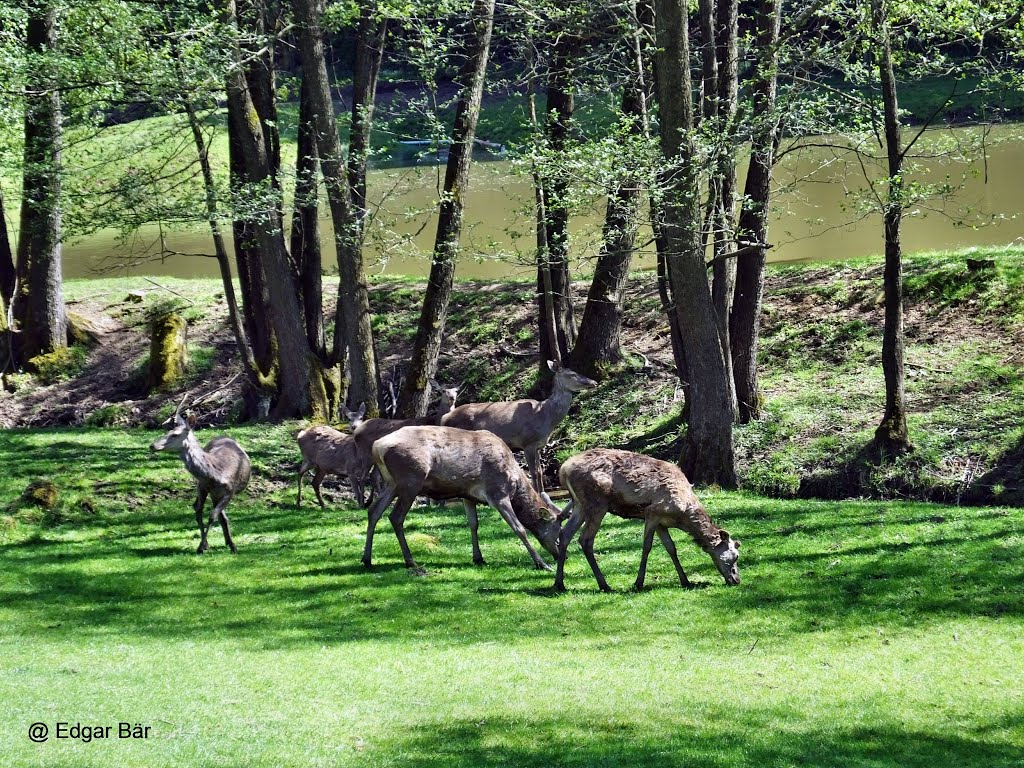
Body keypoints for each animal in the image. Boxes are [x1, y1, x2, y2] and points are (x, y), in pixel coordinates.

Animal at [149, 399, 250, 557]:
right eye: (167, 431)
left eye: (175, 434)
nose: (152, 445)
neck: (214, 474)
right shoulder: (202, 488)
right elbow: (198, 512)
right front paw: (203, 545)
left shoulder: (230, 491)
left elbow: (212, 516)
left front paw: (205, 545)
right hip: (210, 493)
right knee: (216, 514)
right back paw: (227, 542)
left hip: (219, 494)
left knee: (220, 516)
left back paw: (231, 544)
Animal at [362, 428, 573, 577]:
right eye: (557, 530)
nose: (564, 555)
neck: (515, 482)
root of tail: (377, 447)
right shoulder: (498, 493)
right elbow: (519, 528)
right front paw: (541, 563)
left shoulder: (467, 495)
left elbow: (473, 524)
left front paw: (478, 558)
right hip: (411, 480)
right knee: (395, 517)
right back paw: (410, 560)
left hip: (392, 483)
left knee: (374, 511)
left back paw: (367, 559)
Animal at [442, 362, 598, 493]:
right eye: (572, 374)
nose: (594, 382)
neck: (546, 416)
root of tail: (445, 418)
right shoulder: (527, 442)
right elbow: (533, 472)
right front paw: (538, 494)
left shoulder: (538, 445)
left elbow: (540, 472)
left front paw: (543, 492)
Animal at [557, 448, 741, 593]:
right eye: (735, 556)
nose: (737, 579)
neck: (683, 517)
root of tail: (563, 469)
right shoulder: (652, 513)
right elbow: (647, 547)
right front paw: (638, 583)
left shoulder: (662, 524)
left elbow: (671, 548)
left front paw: (685, 581)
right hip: (597, 503)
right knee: (585, 539)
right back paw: (604, 585)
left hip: (579, 505)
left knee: (565, 534)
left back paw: (560, 584)